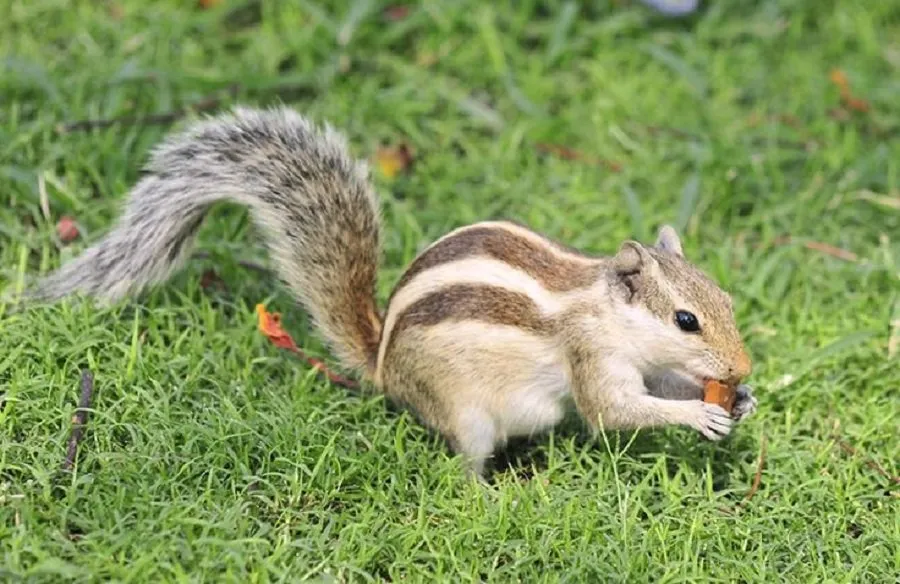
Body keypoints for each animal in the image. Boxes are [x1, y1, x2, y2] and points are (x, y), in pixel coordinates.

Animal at [18, 106, 758, 477]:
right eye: (687, 320)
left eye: (726, 302)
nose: (744, 366)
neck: (601, 308)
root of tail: (380, 363)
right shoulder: (590, 357)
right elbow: (616, 412)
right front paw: (698, 417)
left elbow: (659, 389)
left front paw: (737, 400)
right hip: (464, 410)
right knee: (465, 461)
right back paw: (496, 495)